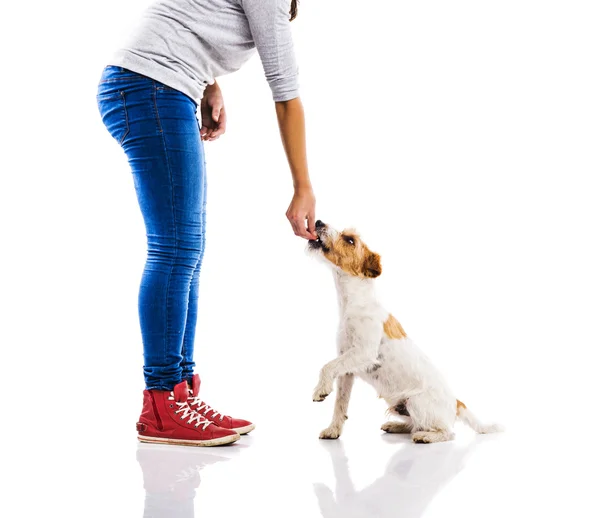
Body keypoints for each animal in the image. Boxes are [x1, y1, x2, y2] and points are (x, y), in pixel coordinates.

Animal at [308, 221, 500, 444]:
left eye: (350, 240)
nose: (318, 222)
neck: (355, 302)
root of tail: (456, 402)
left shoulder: (363, 353)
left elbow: (327, 366)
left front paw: (321, 390)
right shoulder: (347, 368)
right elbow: (340, 403)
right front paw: (333, 430)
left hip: (416, 402)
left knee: (446, 432)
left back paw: (425, 436)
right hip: (400, 405)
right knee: (414, 424)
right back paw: (396, 425)